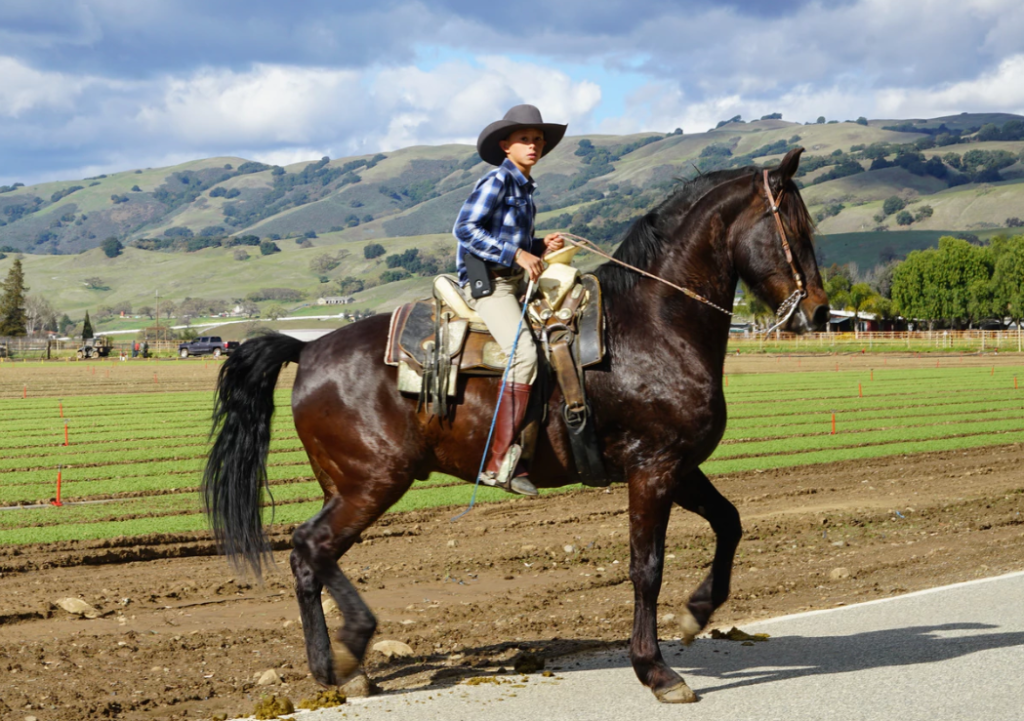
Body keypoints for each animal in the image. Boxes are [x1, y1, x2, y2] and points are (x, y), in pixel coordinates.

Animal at [203, 147, 827, 704]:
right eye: (798, 229)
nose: (818, 311)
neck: (652, 325)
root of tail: (307, 350)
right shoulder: (652, 469)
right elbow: (645, 567)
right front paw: (655, 670)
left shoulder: (679, 466)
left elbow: (730, 523)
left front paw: (696, 612)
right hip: (371, 482)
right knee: (311, 547)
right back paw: (341, 659)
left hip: (349, 484)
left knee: (313, 553)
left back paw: (348, 664)